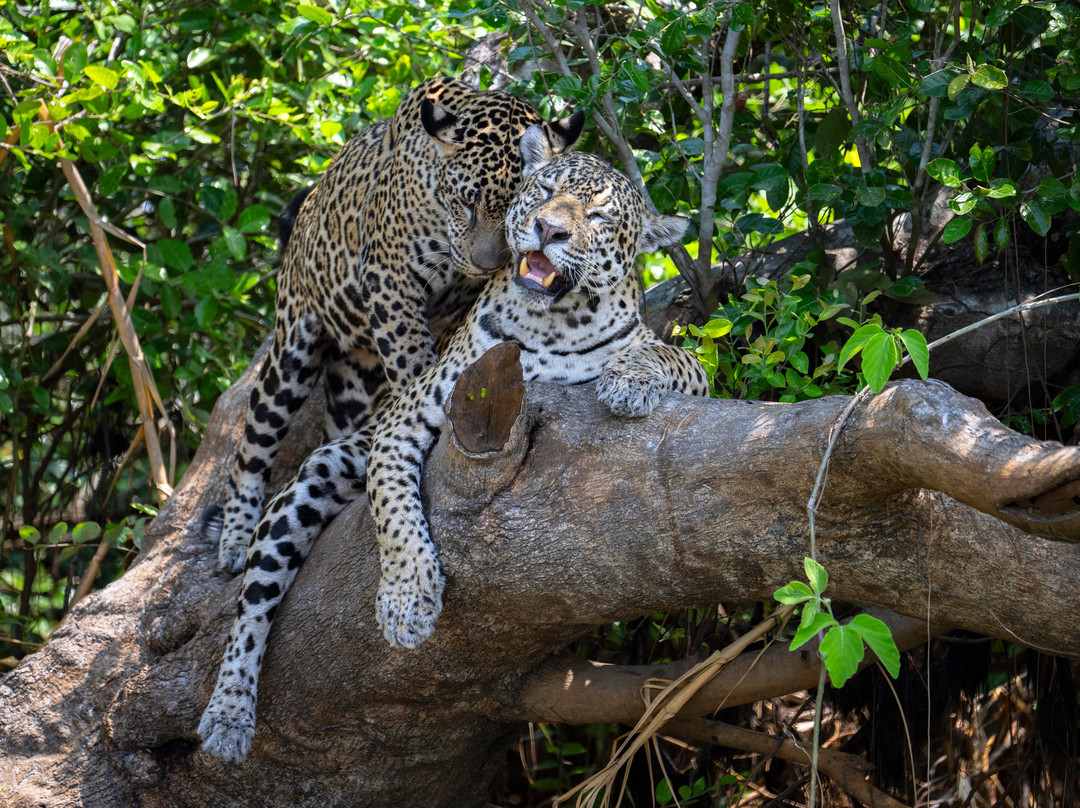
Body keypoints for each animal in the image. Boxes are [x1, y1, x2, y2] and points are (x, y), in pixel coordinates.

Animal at [196, 150, 709, 763]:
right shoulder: (402, 423)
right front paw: (406, 601)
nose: (549, 229)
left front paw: (629, 381)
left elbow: (673, 355)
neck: (555, 322)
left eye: (599, 215)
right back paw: (228, 712)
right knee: (251, 604)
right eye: (545, 191)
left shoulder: (695, 375)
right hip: (306, 451)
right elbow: (395, 514)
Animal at [211, 77, 584, 573]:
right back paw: (235, 536)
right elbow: (413, 364)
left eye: (521, 208)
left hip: (354, 382)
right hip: (292, 345)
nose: (487, 264)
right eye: (468, 202)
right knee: (253, 442)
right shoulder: (389, 278)